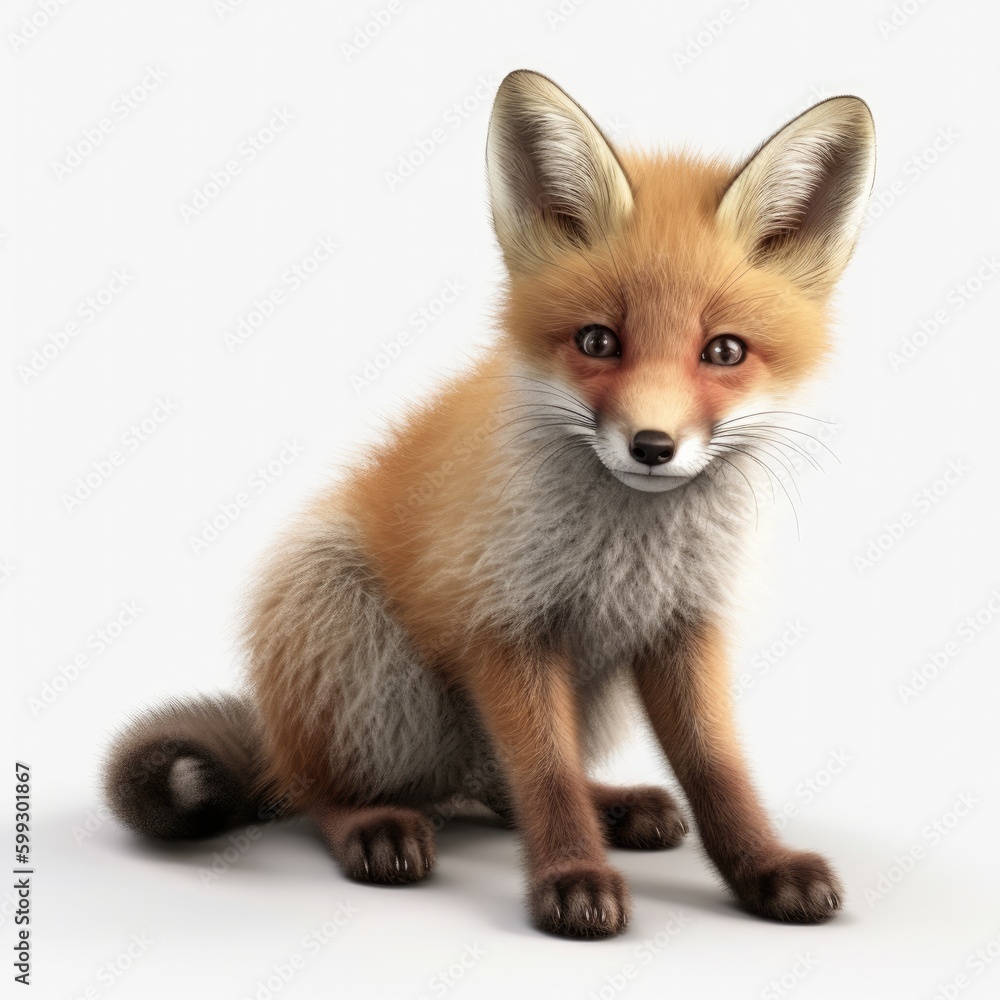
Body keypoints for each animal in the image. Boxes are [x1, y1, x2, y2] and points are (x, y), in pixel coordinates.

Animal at [103, 70, 876, 938]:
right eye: (598, 341)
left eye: (724, 352)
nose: (651, 445)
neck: (628, 553)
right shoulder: (504, 624)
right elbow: (545, 774)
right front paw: (570, 877)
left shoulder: (682, 625)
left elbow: (717, 769)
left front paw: (760, 868)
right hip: (352, 637)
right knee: (322, 793)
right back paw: (373, 823)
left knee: (495, 789)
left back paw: (615, 806)